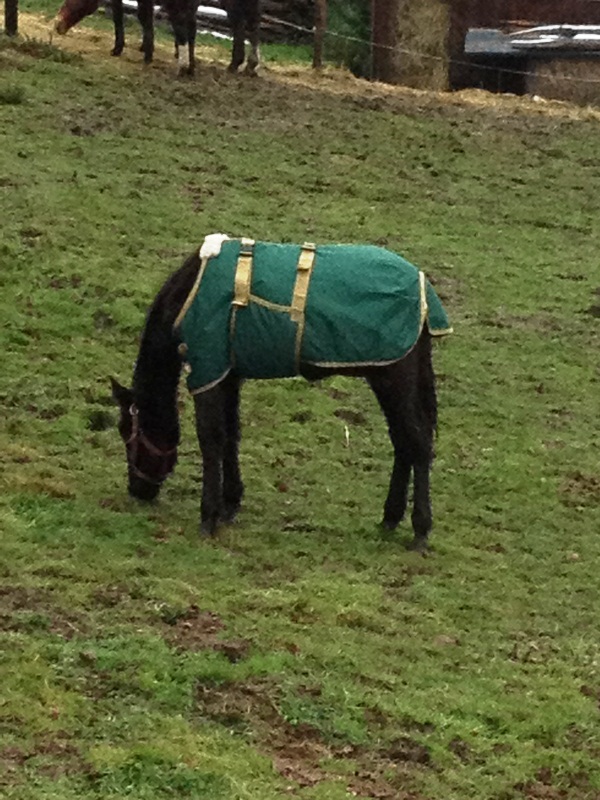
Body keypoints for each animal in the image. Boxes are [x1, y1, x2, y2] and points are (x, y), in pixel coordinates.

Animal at [111, 238, 450, 552]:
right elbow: (231, 435)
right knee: (403, 442)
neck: (192, 292)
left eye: (126, 431)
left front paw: (209, 516)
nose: (138, 489)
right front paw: (230, 503)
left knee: (417, 442)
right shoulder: (229, 375)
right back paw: (390, 518)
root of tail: (422, 288)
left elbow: (211, 439)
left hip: (395, 379)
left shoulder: (208, 370)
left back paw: (420, 529)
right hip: (384, 378)